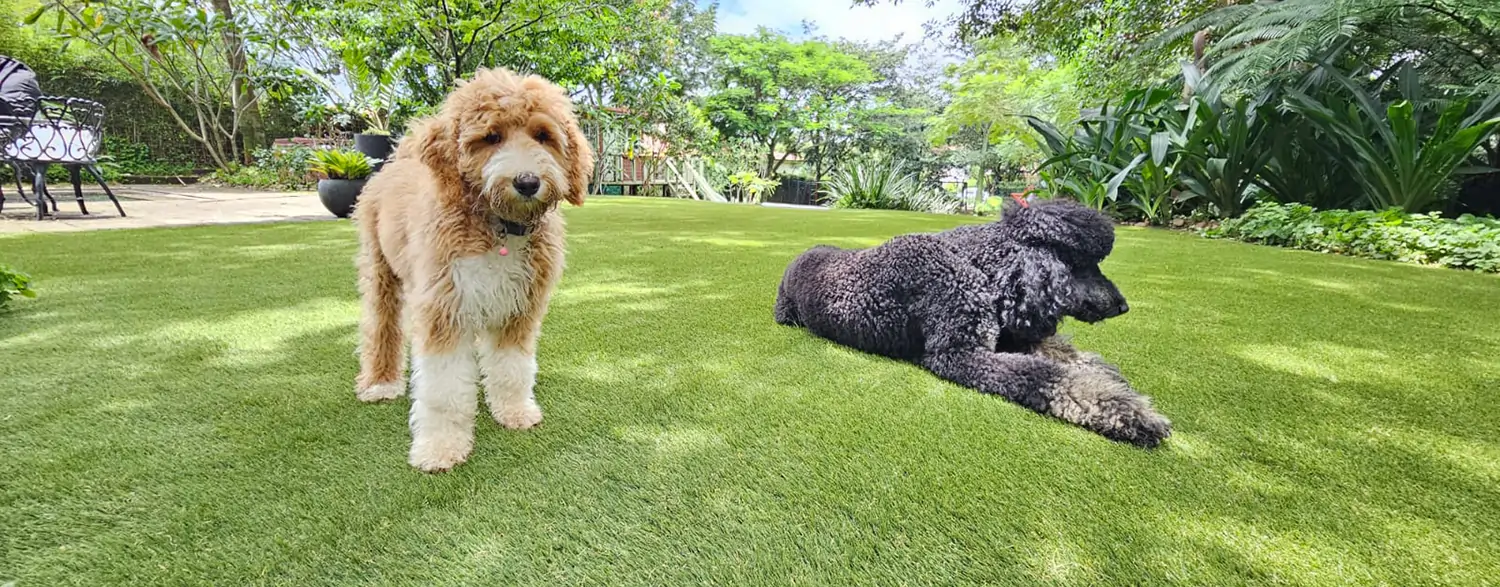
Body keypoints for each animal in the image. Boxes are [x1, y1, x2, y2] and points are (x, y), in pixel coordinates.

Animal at [774, 199, 1170, 447]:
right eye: (1084, 265)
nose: (1123, 306)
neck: (973, 262)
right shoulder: (960, 354)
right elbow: (1045, 375)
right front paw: (1131, 413)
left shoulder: (1011, 335)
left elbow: (1063, 354)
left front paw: (1109, 376)